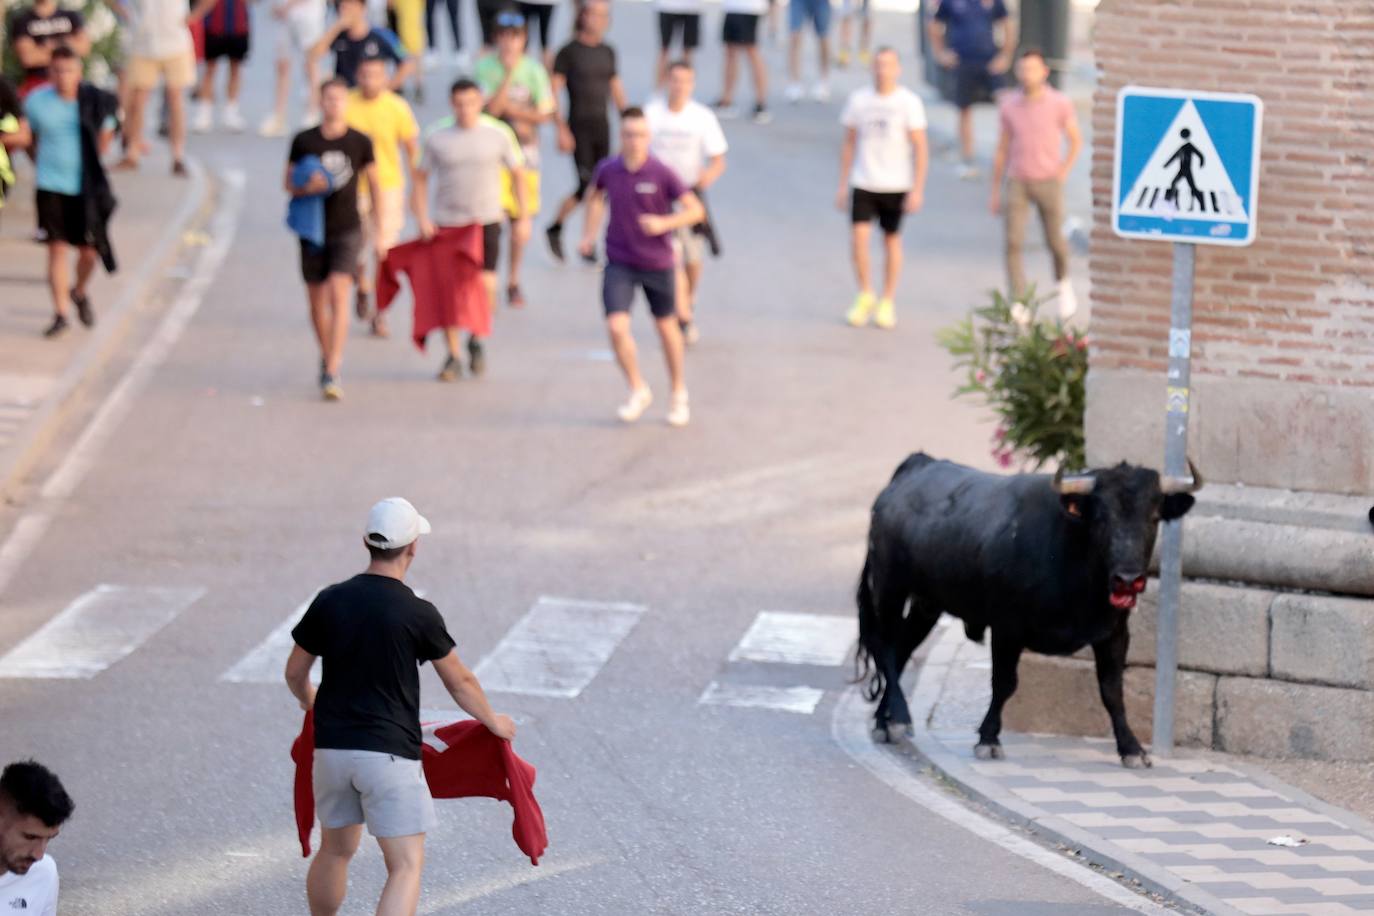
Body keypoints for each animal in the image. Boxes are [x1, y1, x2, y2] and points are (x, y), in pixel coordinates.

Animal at [851, 455, 1198, 769]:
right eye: (1102, 518)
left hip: (927, 604)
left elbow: (1112, 691)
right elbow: (1004, 683)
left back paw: (884, 721)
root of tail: (917, 465)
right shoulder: (1007, 627)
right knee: (885, 648)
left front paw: (1132, 748)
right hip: (890, 589)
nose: (1127, 579)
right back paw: (899, 718)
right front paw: (988, 739)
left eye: (1154, 516)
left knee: (901, 650)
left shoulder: (1114, 632)